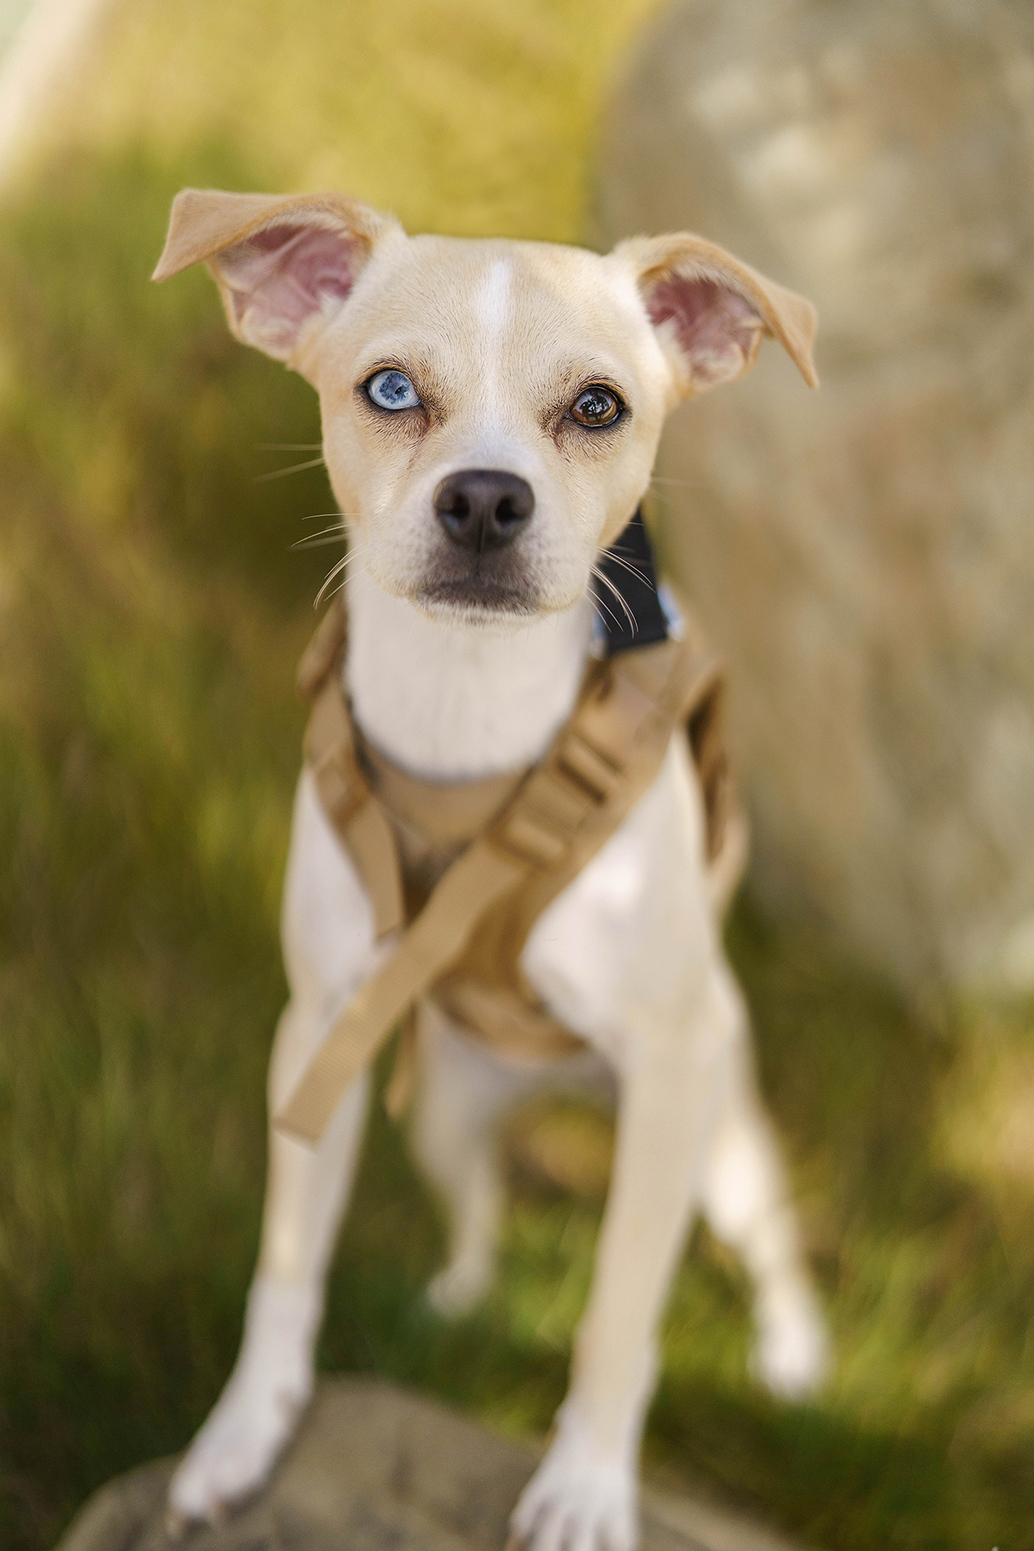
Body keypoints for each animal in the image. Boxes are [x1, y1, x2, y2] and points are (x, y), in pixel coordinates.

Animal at [153, 193, 830, 1551]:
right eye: (390, 389)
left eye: (598, 407)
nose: (481, 500)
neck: (465, 713)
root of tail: (564, 1091)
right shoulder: (318, 1028)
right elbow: (286, 1262)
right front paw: (243, 1437)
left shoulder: (672, 1065)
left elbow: (619, 1313)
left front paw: (585, 1486)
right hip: (446, 1113)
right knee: (483, 1206)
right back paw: (458, 1296)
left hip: (718, 1138)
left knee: (767, 1242)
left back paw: (793, 1357)